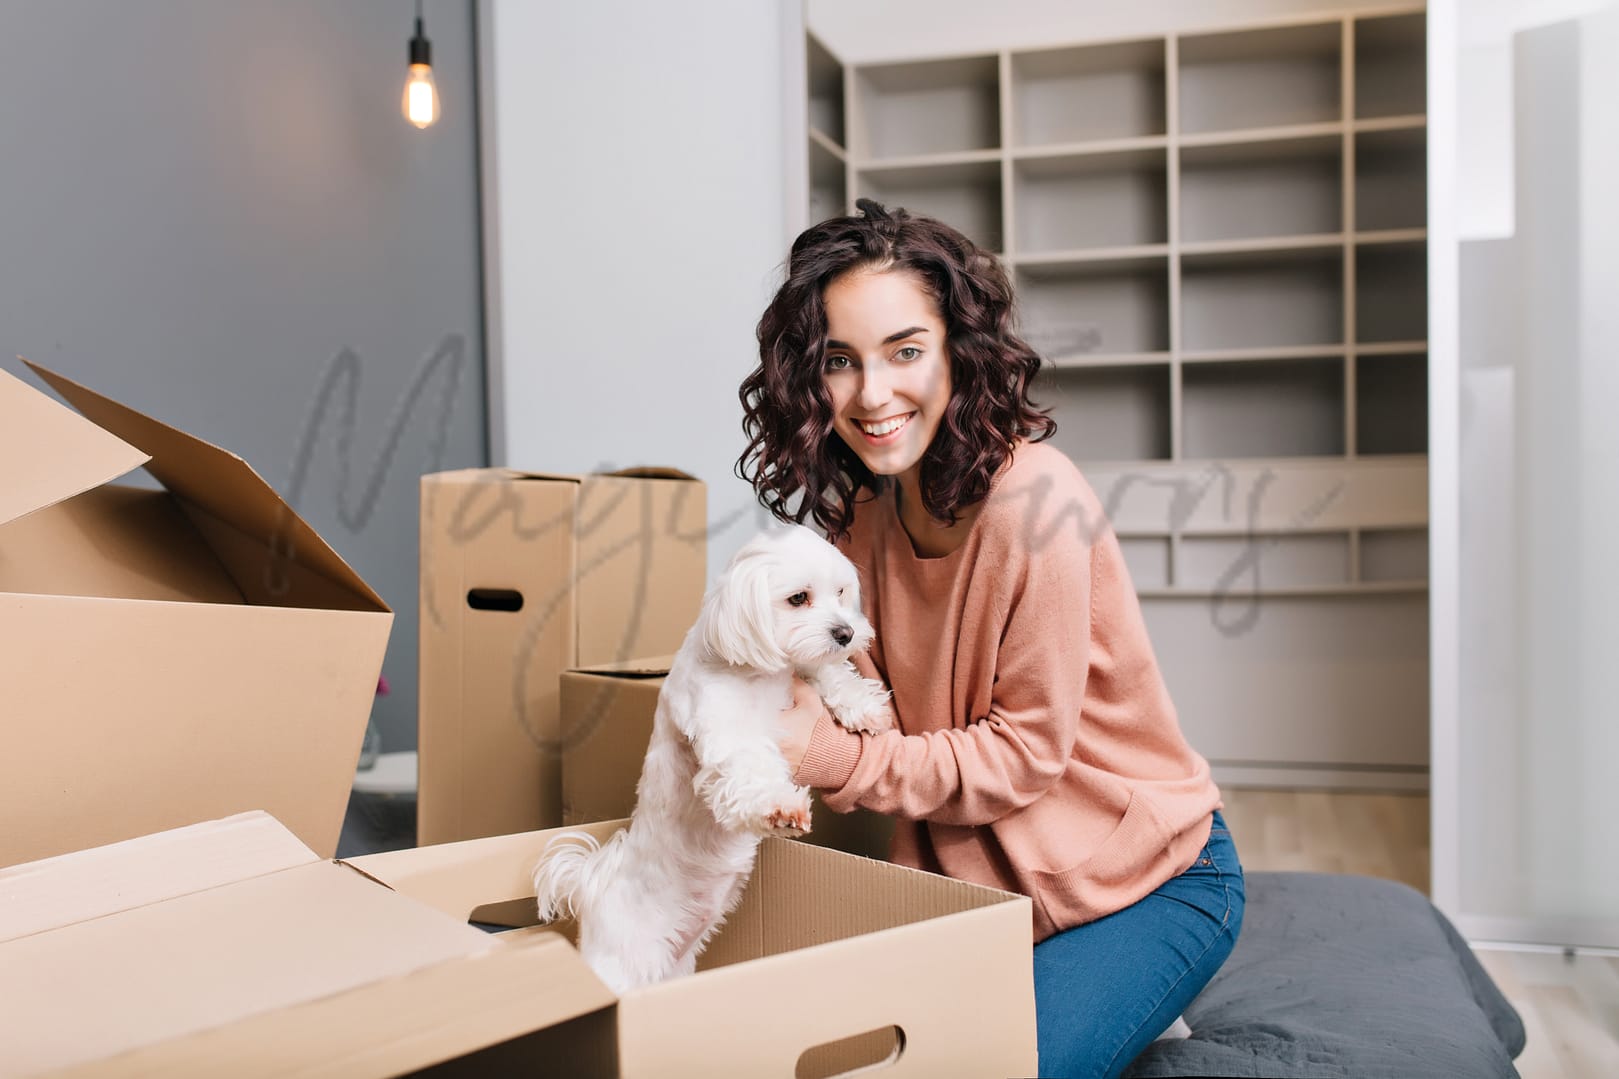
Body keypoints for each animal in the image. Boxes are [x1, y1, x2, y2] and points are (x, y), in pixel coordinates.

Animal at [531, 524, 893, 985]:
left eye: (841, 591)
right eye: (799, 598)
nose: (846, 633)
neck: (758, 671)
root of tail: (593, 888)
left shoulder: (799, 671)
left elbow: (825, 671)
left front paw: (864, 707)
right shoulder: (724, 724)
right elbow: (750, 765)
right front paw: (781, 808)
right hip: (624, 969)